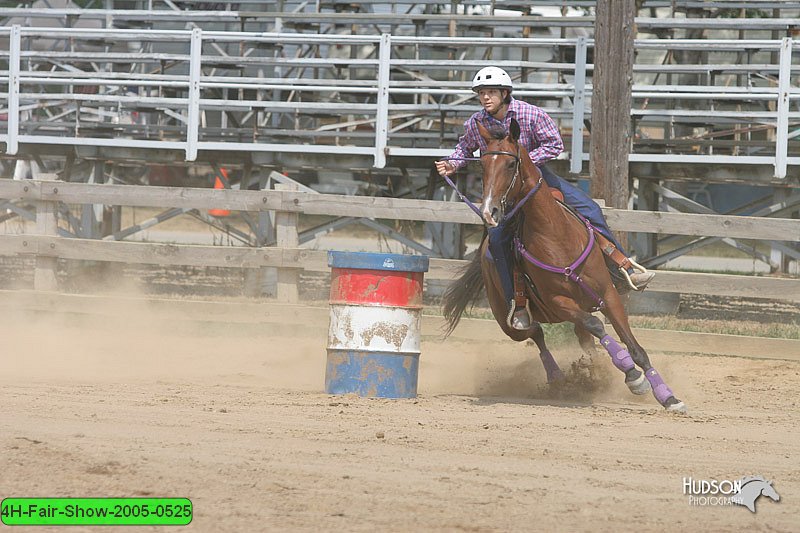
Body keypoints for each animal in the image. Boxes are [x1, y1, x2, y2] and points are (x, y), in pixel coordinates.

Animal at [440, 118, 684, 414]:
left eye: (510, 164)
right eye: (482, 165)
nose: (489, 211)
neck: (557, 235)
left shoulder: (609, 295)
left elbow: (634, 346)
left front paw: (667, 396)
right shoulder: (559, 302)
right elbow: (596, 325)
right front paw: (633, 376)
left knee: (576, 337)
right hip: (509, 322)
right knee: (537, 334)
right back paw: (557, 375)